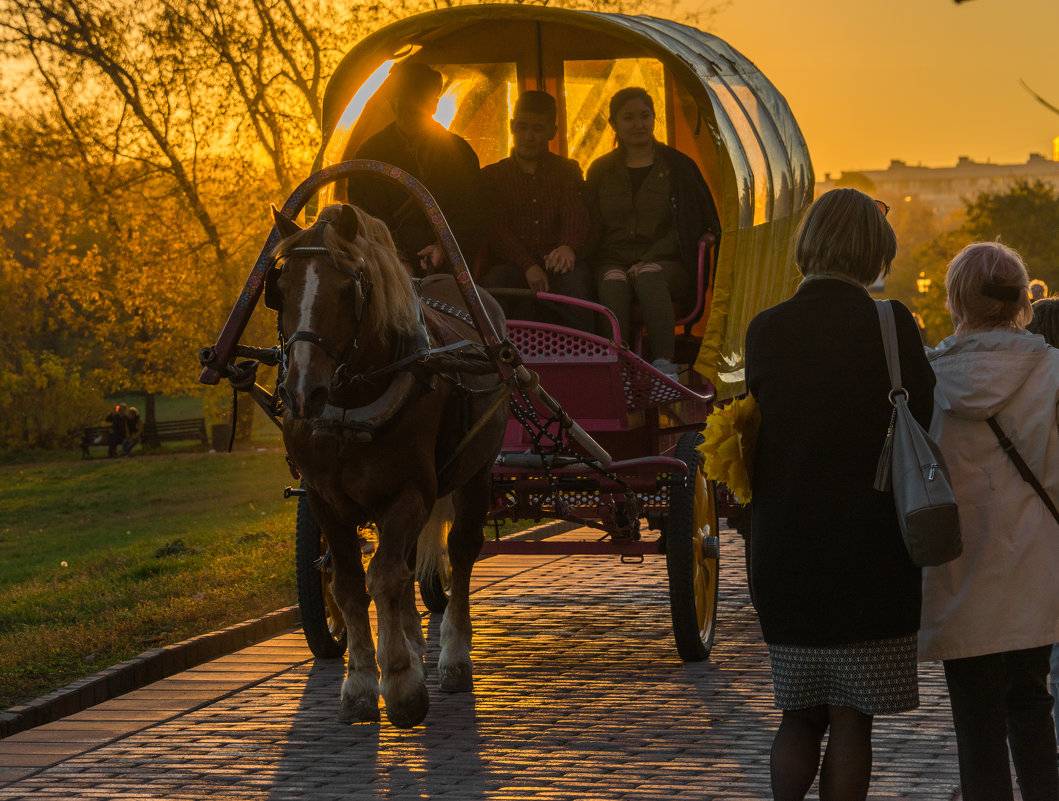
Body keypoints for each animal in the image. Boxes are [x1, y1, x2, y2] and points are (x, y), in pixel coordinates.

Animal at [266, 200, 510, 724]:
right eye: (281, 289)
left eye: (346, 290)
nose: (302, 392)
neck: (349, 408)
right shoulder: (324, 501)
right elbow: (350, 583)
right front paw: (360, 682)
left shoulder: (409, 493)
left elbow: (384, 575)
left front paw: (400, 682)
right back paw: (415, 638)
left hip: (475, 473)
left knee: (460, 551)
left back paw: (452, 657)